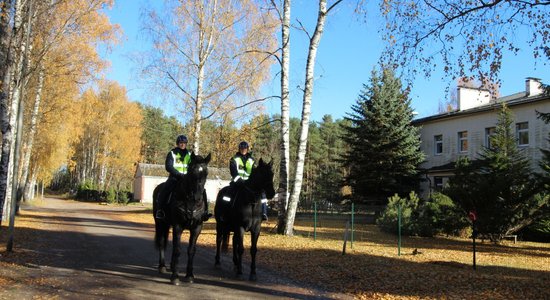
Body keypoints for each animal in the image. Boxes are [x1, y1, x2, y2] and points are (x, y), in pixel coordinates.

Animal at [153, 154, 211, 284]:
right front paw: (175, 277)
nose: (197, 197)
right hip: (160, 223)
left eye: (206, 173)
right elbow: (177, 249)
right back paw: (162, 266)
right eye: (191, 171)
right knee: (162, 242)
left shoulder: (197, 228)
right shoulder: (178, 226)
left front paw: (189, 275)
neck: (190, 202)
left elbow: (191, 250)